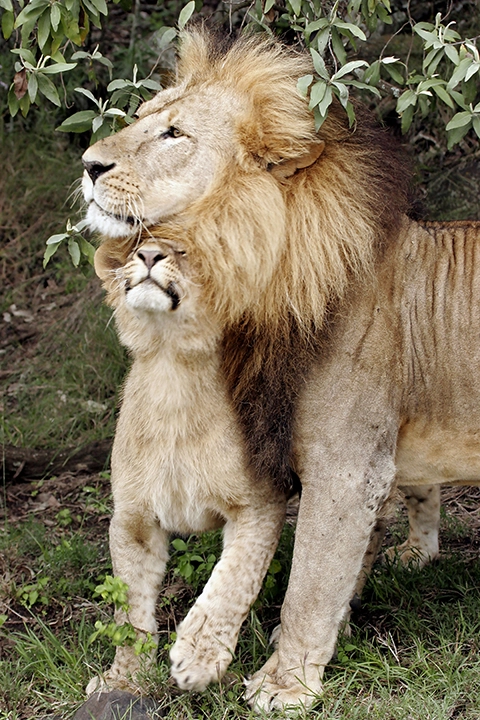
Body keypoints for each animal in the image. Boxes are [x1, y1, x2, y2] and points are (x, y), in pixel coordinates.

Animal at [86, 230, 287, 696]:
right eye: (136, 246)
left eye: (184, 251)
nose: (148, 255)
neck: (170, 366)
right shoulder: (132, 519)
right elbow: (130, 608)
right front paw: (124, 679)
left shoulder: (261, 504)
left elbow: (234, 581)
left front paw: (197, 660)